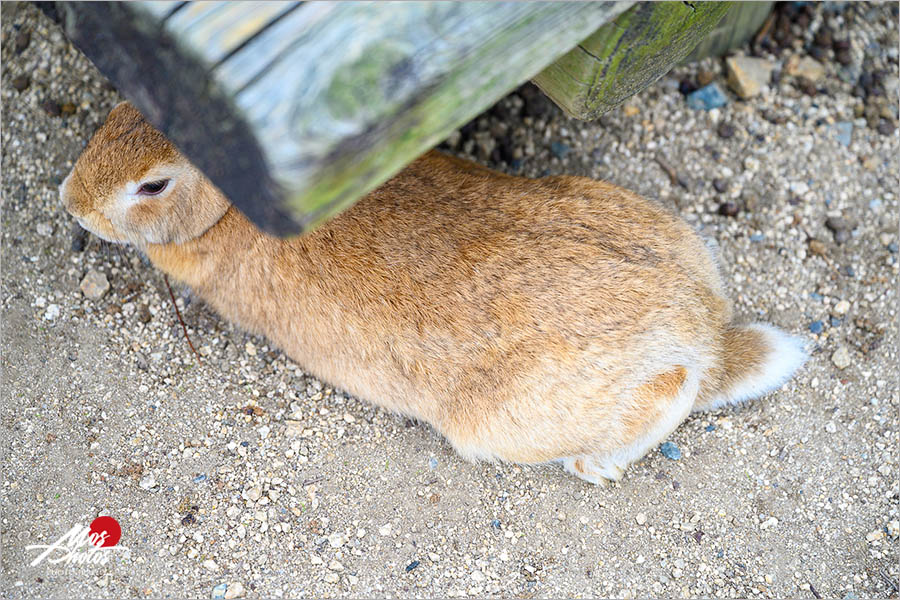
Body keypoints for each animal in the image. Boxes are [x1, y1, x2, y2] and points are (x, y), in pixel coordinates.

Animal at [63, 103, 808, 486]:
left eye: (154, 185)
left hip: (498, 422)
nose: (72, 204)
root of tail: (707, 332)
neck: (227, 207)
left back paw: (596, 462)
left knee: (667, 393)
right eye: (117, 114)